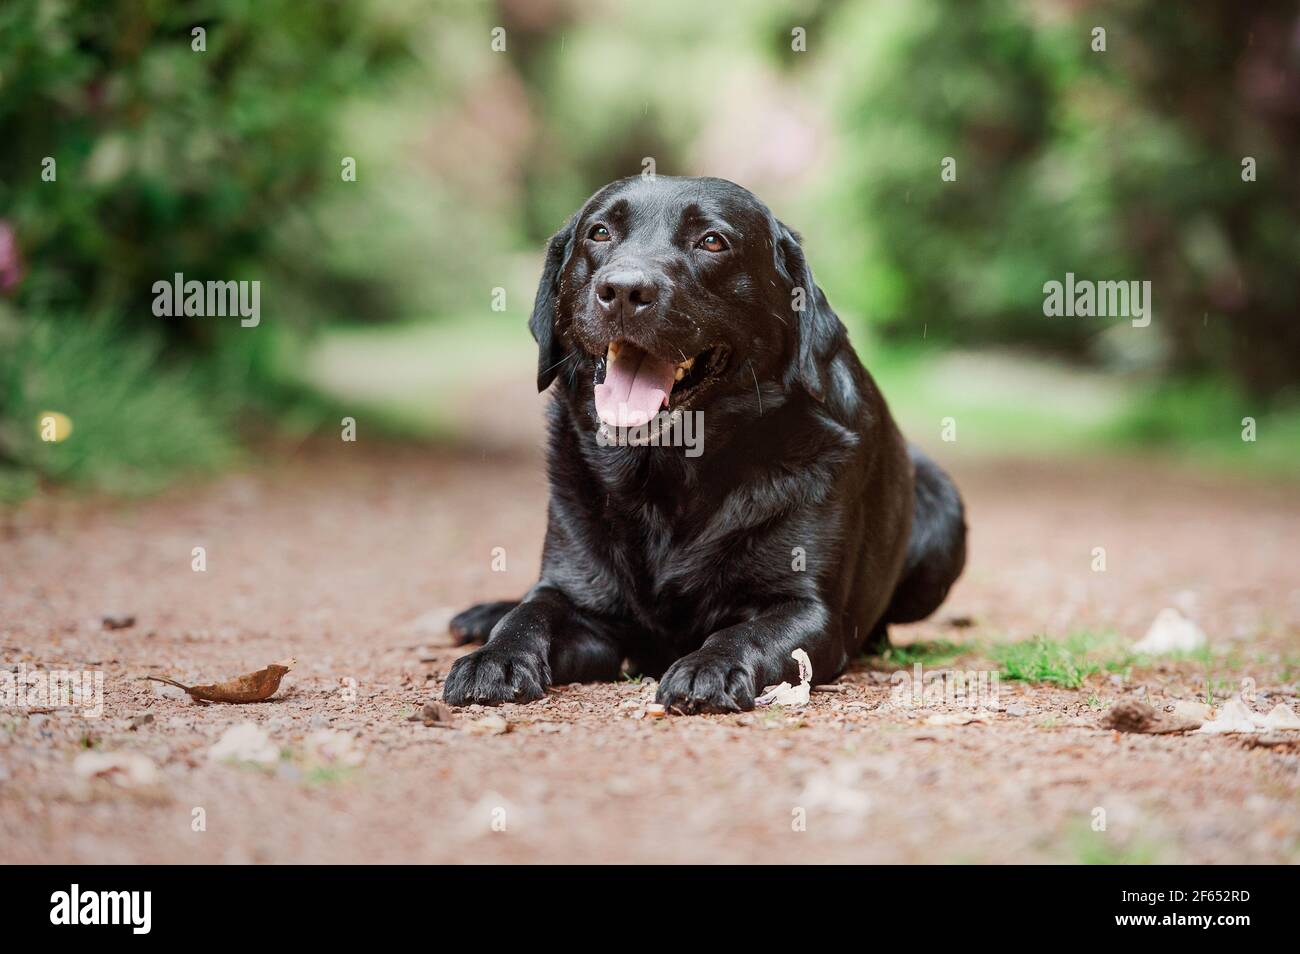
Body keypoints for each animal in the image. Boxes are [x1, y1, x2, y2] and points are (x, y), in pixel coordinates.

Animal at [447, 178, 967, 717]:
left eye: (713, 241)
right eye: (599, 232)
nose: (624, 290)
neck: (670, 470)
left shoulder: (809, 609)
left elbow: (746, 633)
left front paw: (708, 666)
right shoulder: (578, 594)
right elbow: (532, 612)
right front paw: (494, 656)